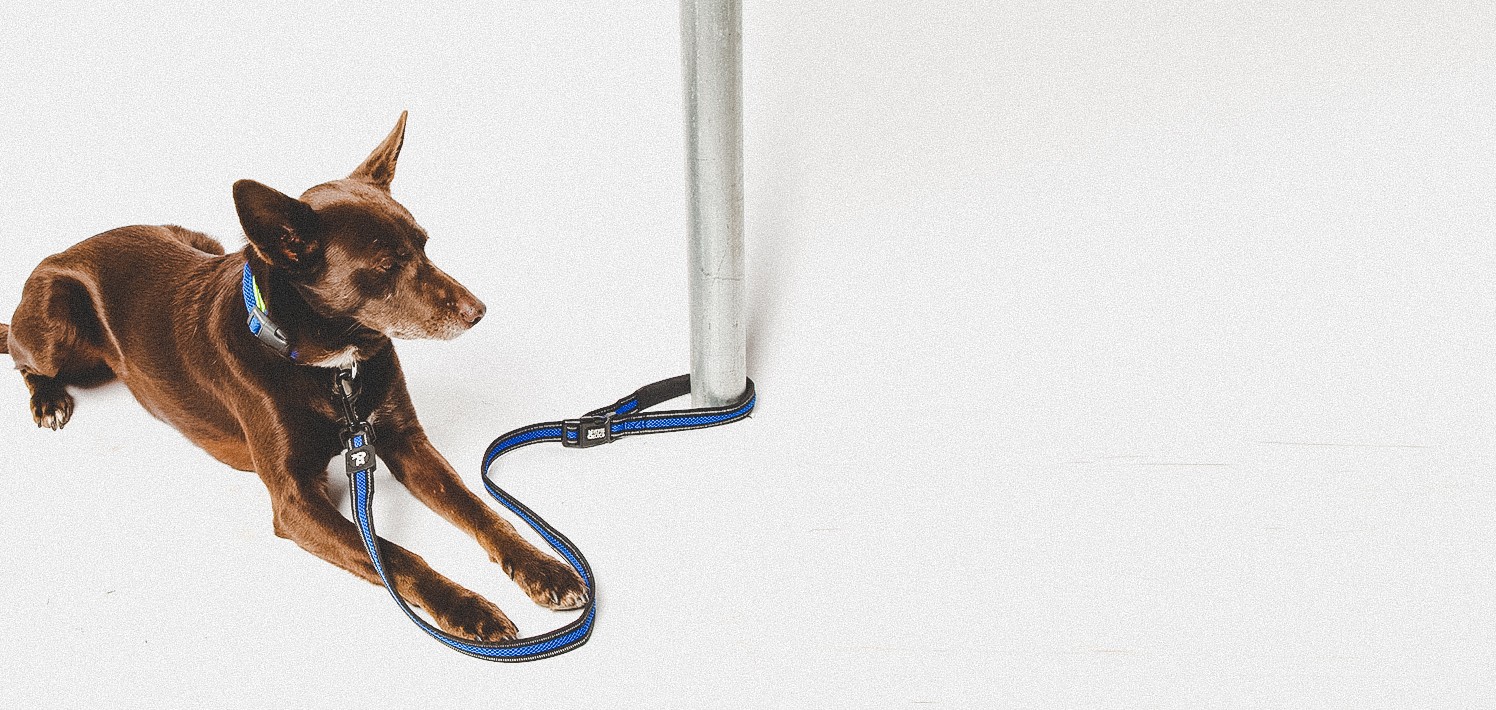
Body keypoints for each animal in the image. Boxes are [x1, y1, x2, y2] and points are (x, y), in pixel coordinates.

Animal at [0, 113, 586, 641]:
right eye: (387, 265)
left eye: (424, 243)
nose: (478, 311)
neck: (332, 369)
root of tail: (74, 246)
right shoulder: (296, 501)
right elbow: (396, 557)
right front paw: (467, 609)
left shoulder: (404, 441)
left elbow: (479, 510)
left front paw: (543, 568)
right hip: (54, 318)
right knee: (18, 351)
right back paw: (47, 399)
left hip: (209, 240)